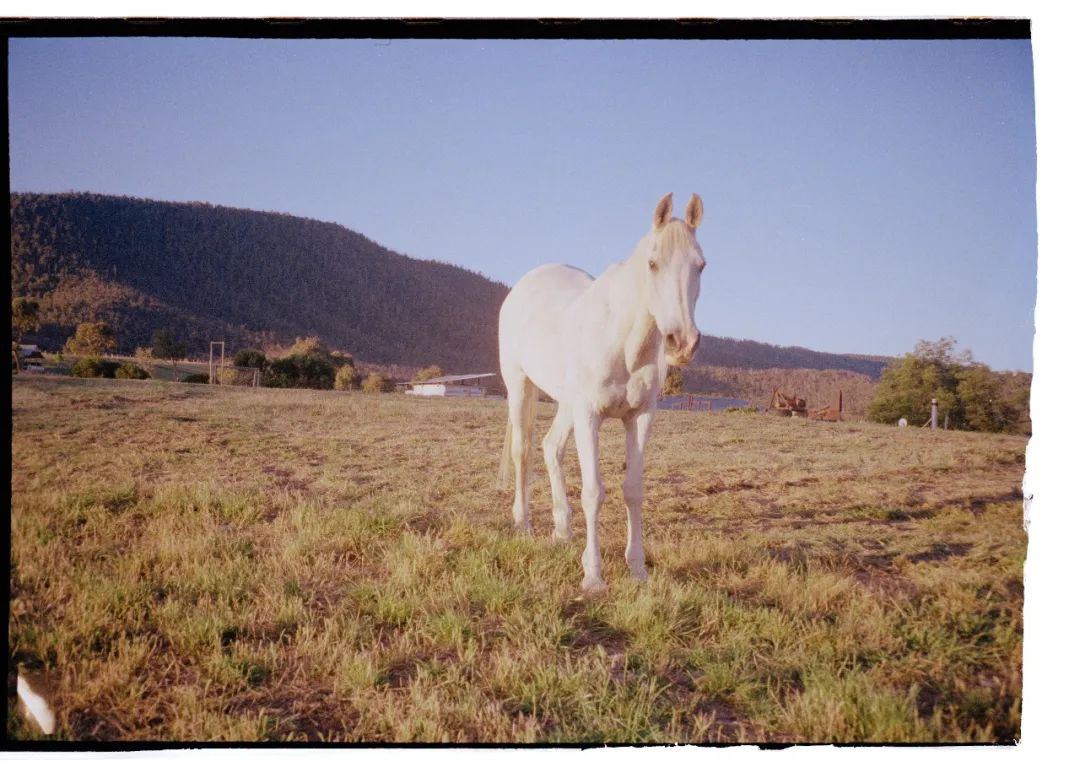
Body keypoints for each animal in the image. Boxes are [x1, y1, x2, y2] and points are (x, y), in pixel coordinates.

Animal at [494, 191, 704, 595]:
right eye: (652, 263)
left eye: (701, 265)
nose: (682, 343)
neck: (623, 341)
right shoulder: (589, 415)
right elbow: (593, 491)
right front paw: (593, 576)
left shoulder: (639, 416)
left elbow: (633, 490)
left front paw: (637, 569)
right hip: (520, 386)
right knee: (523, 452)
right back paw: (523, 526)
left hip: (566, 404)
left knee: (550, 447)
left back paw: (562, 530)